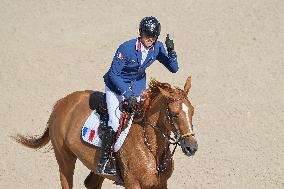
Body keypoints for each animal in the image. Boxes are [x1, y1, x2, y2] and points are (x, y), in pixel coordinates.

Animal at [12, 77, 197, 189]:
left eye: (193, 111)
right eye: (174, 114)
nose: (191, 148)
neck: (150, 146)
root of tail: (61, 102)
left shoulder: (161, 184)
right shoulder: (133, 184)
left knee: (91, 183)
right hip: (65, 158)